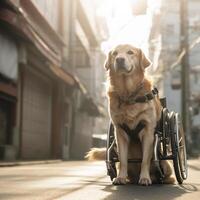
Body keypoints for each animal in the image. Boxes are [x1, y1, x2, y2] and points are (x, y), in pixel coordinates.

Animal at [85, 44, 174, 186]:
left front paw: (145, 178)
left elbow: (145, 160)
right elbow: (123, 160)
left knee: (167, 175)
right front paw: (120, 177)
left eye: (130, 52)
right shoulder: (120, 132)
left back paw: (157, 178)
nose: (119, 59)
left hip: (166, 165)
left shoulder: (148, 132)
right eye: (115, 54)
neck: (128, 94)